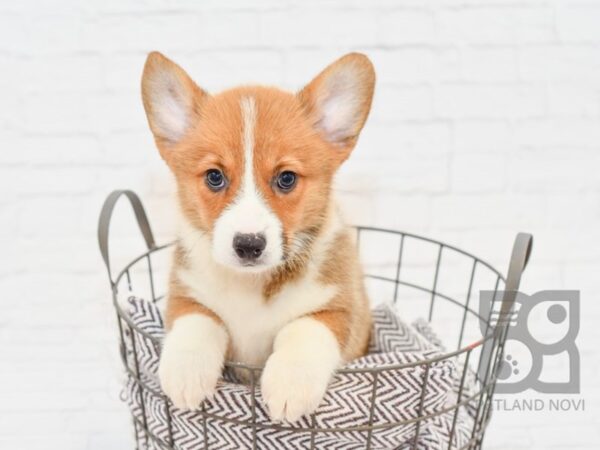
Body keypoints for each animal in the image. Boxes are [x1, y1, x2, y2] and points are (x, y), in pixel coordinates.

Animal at [141, 51, 376, 422]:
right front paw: (186, 372)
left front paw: (290, 384)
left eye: (286, 179)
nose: (248, 245)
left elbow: (305, 329)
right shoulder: (186, 294)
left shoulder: (340, 309)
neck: (252, 285)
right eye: (214, 177)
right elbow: (197, 321)